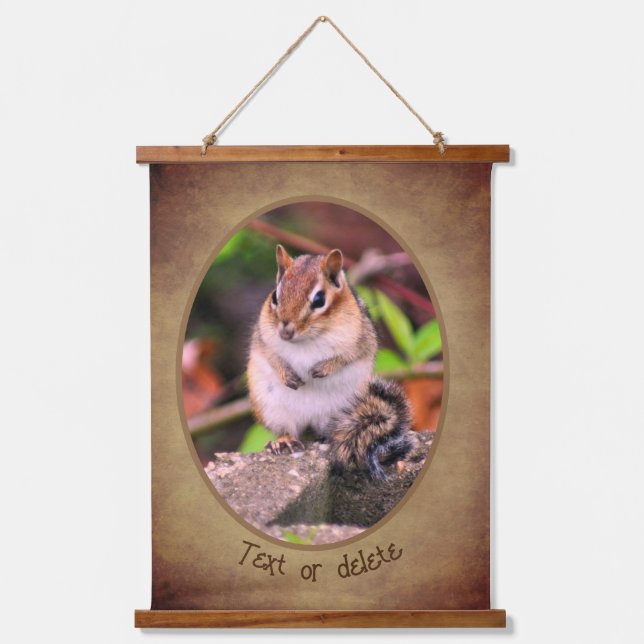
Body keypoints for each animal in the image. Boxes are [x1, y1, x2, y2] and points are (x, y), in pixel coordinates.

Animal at [247, 244, 415, 480]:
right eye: (275, 297)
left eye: (319, 300)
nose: (285, 332)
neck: (307, 340)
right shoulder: (263, 338)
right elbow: (272, 356)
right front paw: (287, 375)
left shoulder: (361, 340)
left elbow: (348, 356)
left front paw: (323, 369)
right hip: (272, 408)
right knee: (287, 429)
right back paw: (284, 441)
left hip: (345, 409)